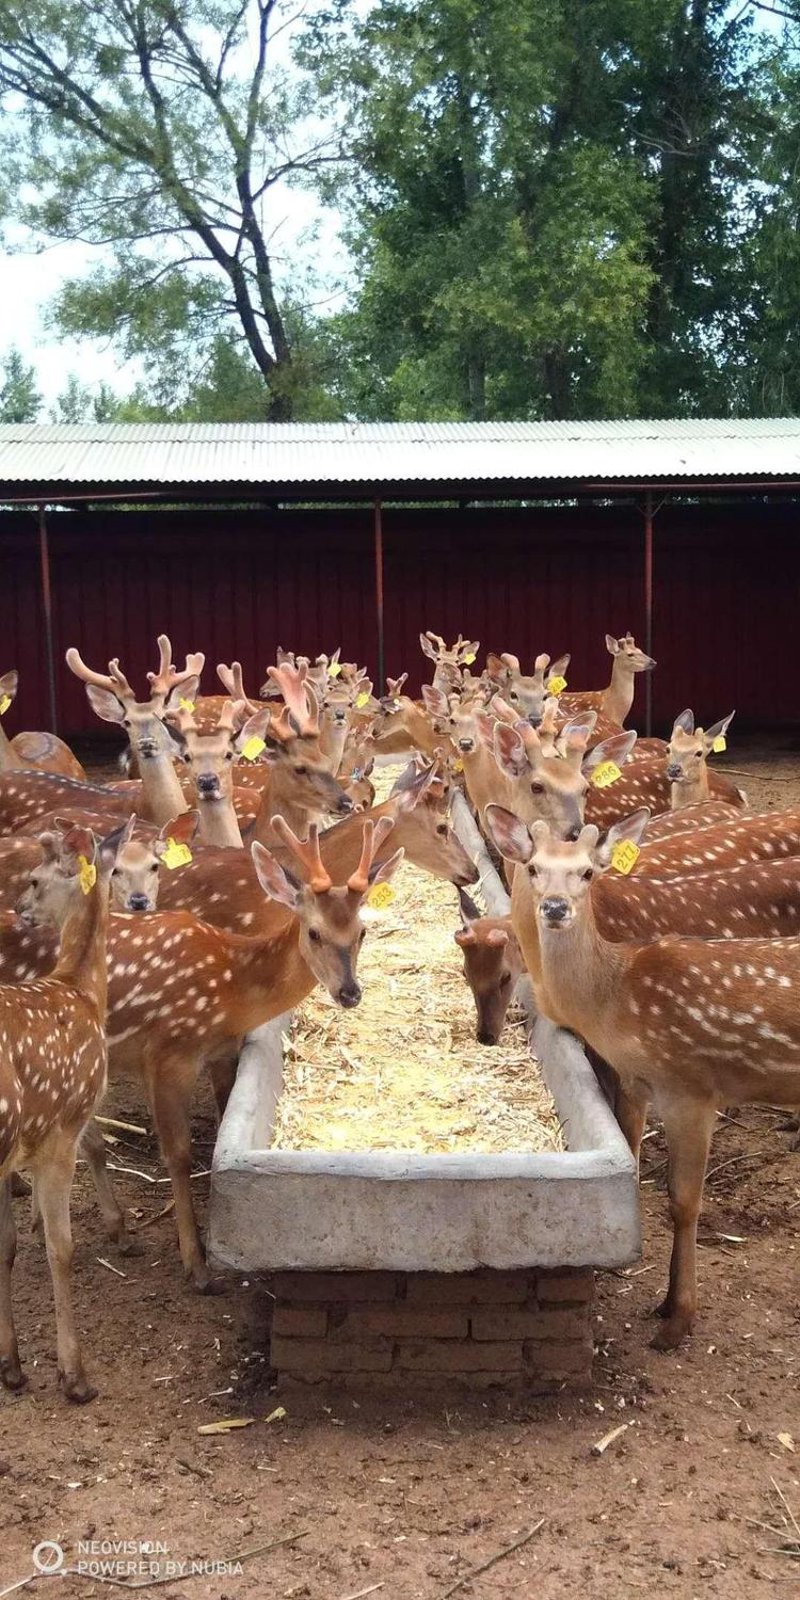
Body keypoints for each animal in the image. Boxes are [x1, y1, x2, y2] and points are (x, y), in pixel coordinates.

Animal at [13, 816, 404, 1289]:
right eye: (314, 932)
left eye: (362, 931)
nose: (349, 992)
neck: (232, 985)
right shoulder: (168, 1053)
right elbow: (178, 1154)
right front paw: (195, 1263)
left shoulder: (220, 1052)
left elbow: (219, 1119)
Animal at [482, 806, 800, 1350]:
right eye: (534, 867)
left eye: (589, 872)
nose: (555, 908)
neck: (616, 998)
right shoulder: (637, 1083)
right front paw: (667, 1305)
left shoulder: (691, 1086)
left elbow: (684, 1202)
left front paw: (676, 1320)